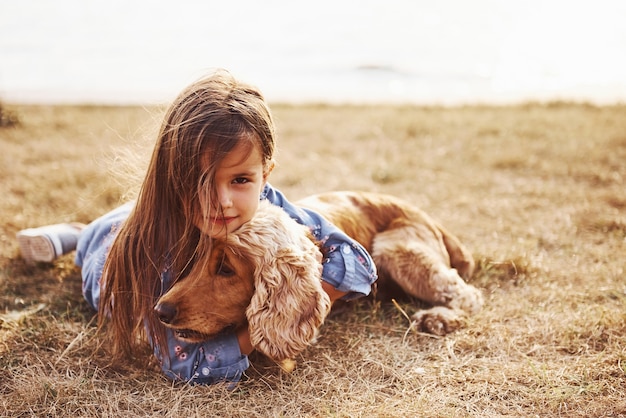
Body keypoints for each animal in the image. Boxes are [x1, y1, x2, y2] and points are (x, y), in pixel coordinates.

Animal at [155, 193, 482, 366]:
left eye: (225, 268)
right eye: (192, 262)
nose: (160, 311)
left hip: (396, 251)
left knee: (467, 295)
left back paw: (437, 319)